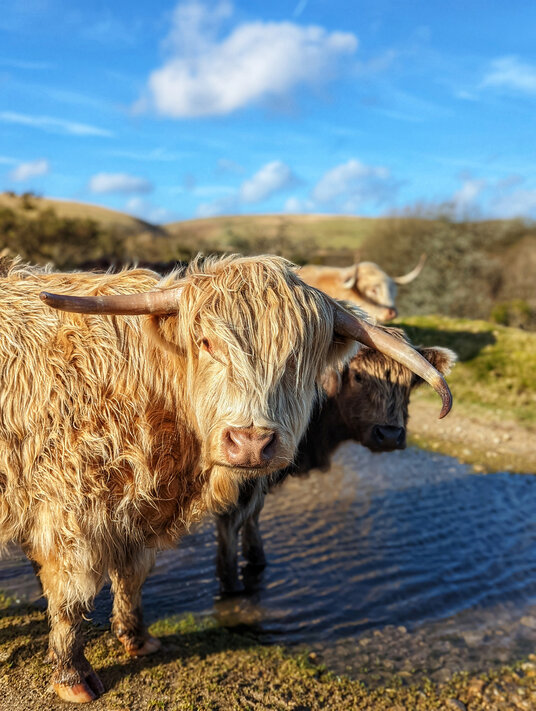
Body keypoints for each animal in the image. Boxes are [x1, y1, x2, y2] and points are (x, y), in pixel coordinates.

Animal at [215, 329, 456, 594]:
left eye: (411, 381)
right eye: (358, 376)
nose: (390, 435)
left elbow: (253, 514)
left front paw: (256, 559)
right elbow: (231, 523)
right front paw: (231, 586)